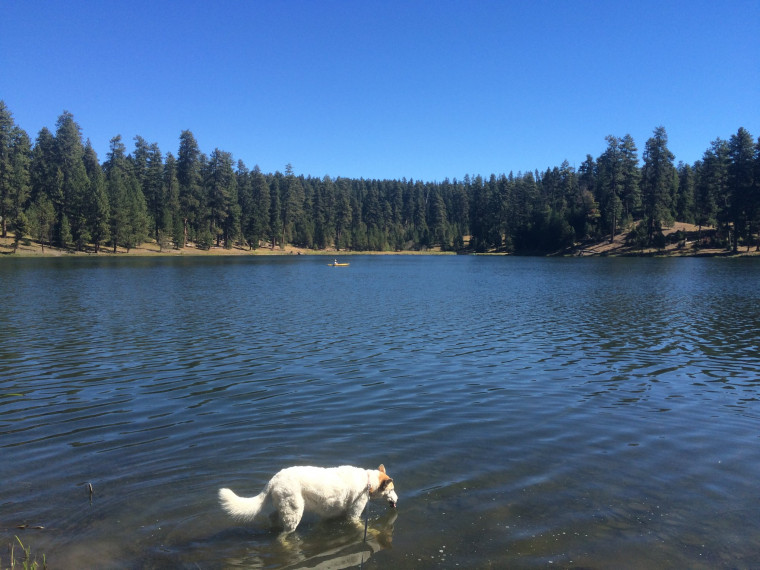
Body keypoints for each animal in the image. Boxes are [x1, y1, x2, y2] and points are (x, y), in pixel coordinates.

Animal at [218, 464, 398, 532]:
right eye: (392, 489)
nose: (397, 500)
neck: (368, 482)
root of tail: (273, 480)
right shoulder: (354, 514)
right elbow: (364, 527)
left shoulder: (331, 513)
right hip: (295, 512)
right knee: (284, 535)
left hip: (285, 506)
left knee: (272, 516)